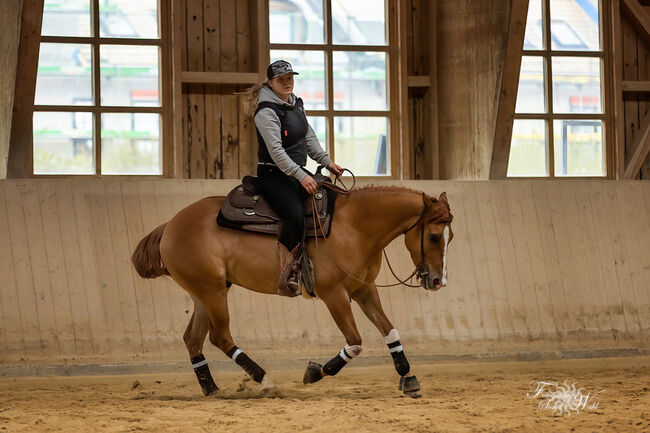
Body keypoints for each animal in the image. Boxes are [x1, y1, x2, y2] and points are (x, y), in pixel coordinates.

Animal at [132, 184, 454, 396]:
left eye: (449, 237)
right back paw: (264, 380)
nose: (439, 281)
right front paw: (315, 372)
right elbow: (355, 342)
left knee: (193, 339)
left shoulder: (364, 290)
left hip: (203, 293)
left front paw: (408, 377)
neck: (354, 227)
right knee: (220, 337)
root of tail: (170, 224)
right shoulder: (335, 295)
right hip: (213, 292)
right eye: (434, 236)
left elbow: (389, 330)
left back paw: (212, 389)